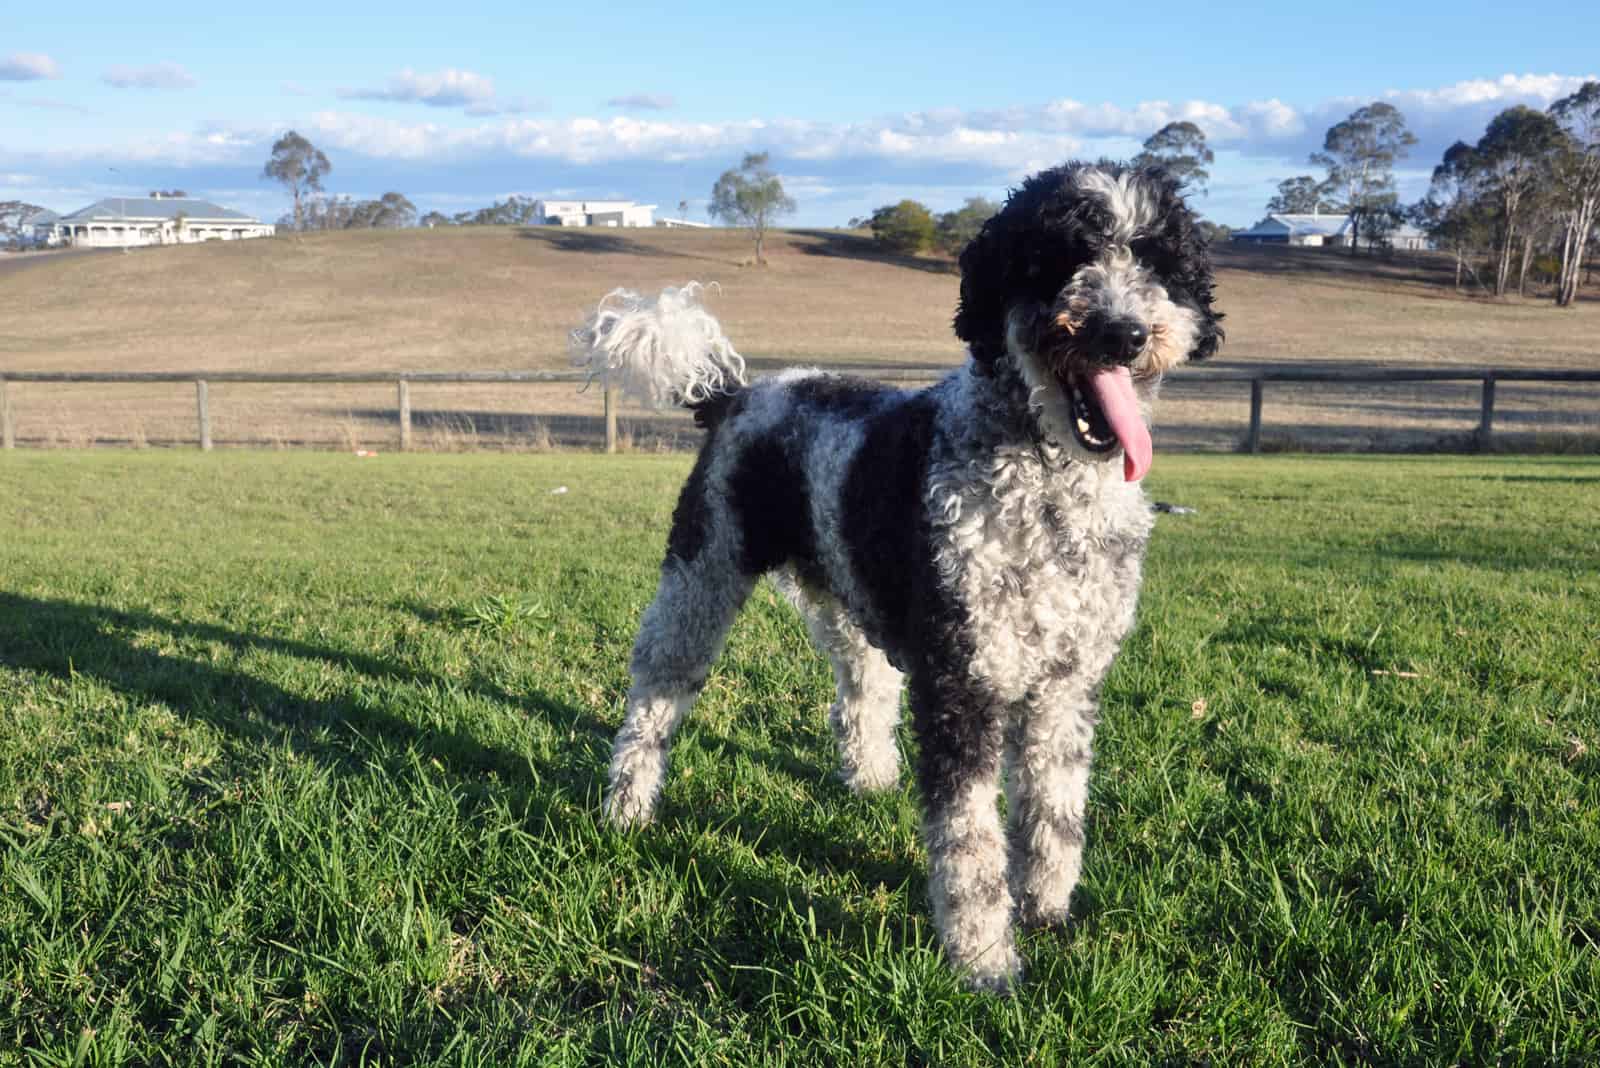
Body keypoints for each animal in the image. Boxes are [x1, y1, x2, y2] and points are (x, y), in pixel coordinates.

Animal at [569, 160, 1216, 991]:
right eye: (1061, 257)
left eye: (1158, 261)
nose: (1124, 331)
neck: (1046, 487)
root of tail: (737, 394)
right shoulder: (964, 682)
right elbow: (970, 841)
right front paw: (984, 962)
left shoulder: (1065, 686)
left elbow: (1055, 813)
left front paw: (1047, 911)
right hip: (700, 577)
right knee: (654, 697)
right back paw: (628, 807)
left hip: (842, 595)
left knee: (861, 689)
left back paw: (870, 779)